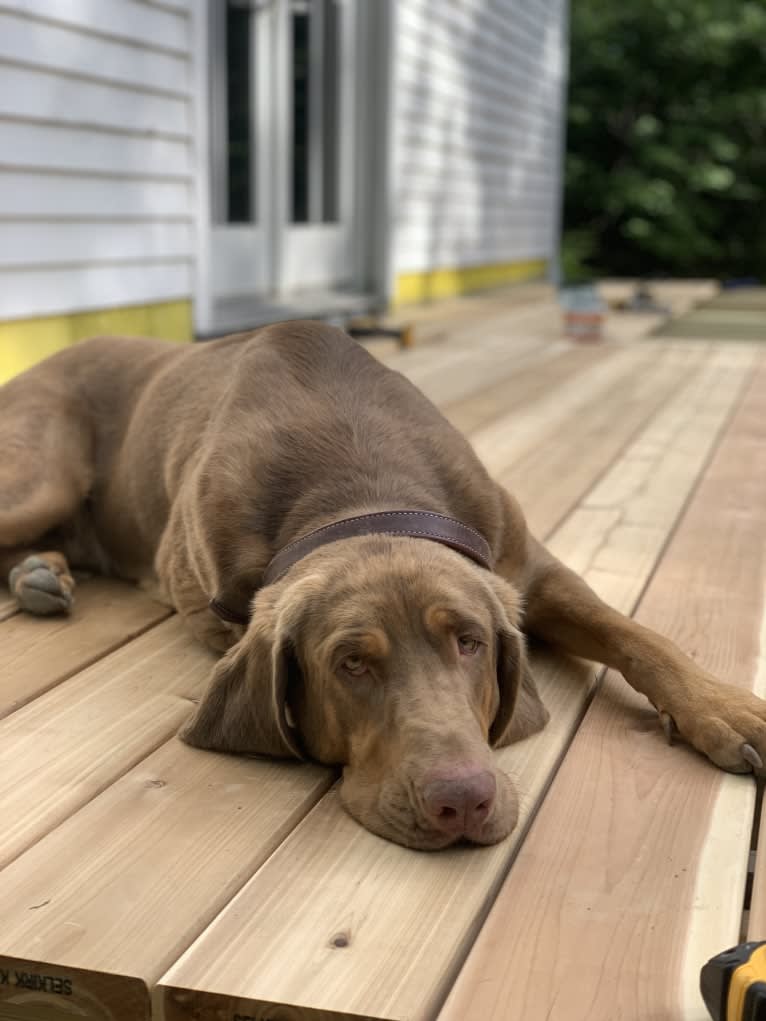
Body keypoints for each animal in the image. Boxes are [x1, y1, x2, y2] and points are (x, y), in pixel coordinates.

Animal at [1, 322, 766, 849]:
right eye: (351, 664)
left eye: (470, 642)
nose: (462, 801)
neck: (358, 486)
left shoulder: (531, 569)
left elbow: (636, 634)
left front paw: (723, 708)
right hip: (42, 477)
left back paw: (42, 572)